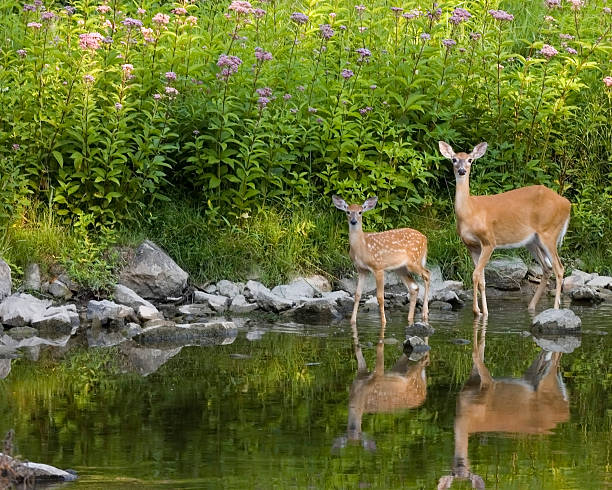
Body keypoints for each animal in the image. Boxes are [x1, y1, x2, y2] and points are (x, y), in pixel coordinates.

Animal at [334, 194, 430, 326]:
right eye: (348, 212)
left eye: (360, 212)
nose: (353, 221)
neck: (362, 247)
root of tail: (425, 238)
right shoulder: (361, 269)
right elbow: (357, 294)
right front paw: (352, 321)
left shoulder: (378, 267)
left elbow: (380, 297)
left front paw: (384, 322)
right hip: (400, 268)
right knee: (414, 287)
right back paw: (410, 319)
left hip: (414, 261)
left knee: (427, 274)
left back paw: (425, 313)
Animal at [436, 324, 568, 488]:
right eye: (453, 473)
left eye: (468, 471)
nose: (459, 463)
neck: (464, 417)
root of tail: (566, 411)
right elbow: (480, 347)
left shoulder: (488, 384)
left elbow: (475, 354)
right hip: (534, 375)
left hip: (546, 384)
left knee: (555, 359)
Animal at [438, 142, 572, 318]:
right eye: (454, 159)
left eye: (470, 160)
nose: (461, 170)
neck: (470, 211)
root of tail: (567, 204)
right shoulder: (471, 246)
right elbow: (481, 278)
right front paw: (484, 312)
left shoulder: (489, 241)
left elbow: (475, 275)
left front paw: (476, 310)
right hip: (532, 241)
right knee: (547, 268)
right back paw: (531, 307)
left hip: (549, 232)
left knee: (559, 268)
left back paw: (555, 309)